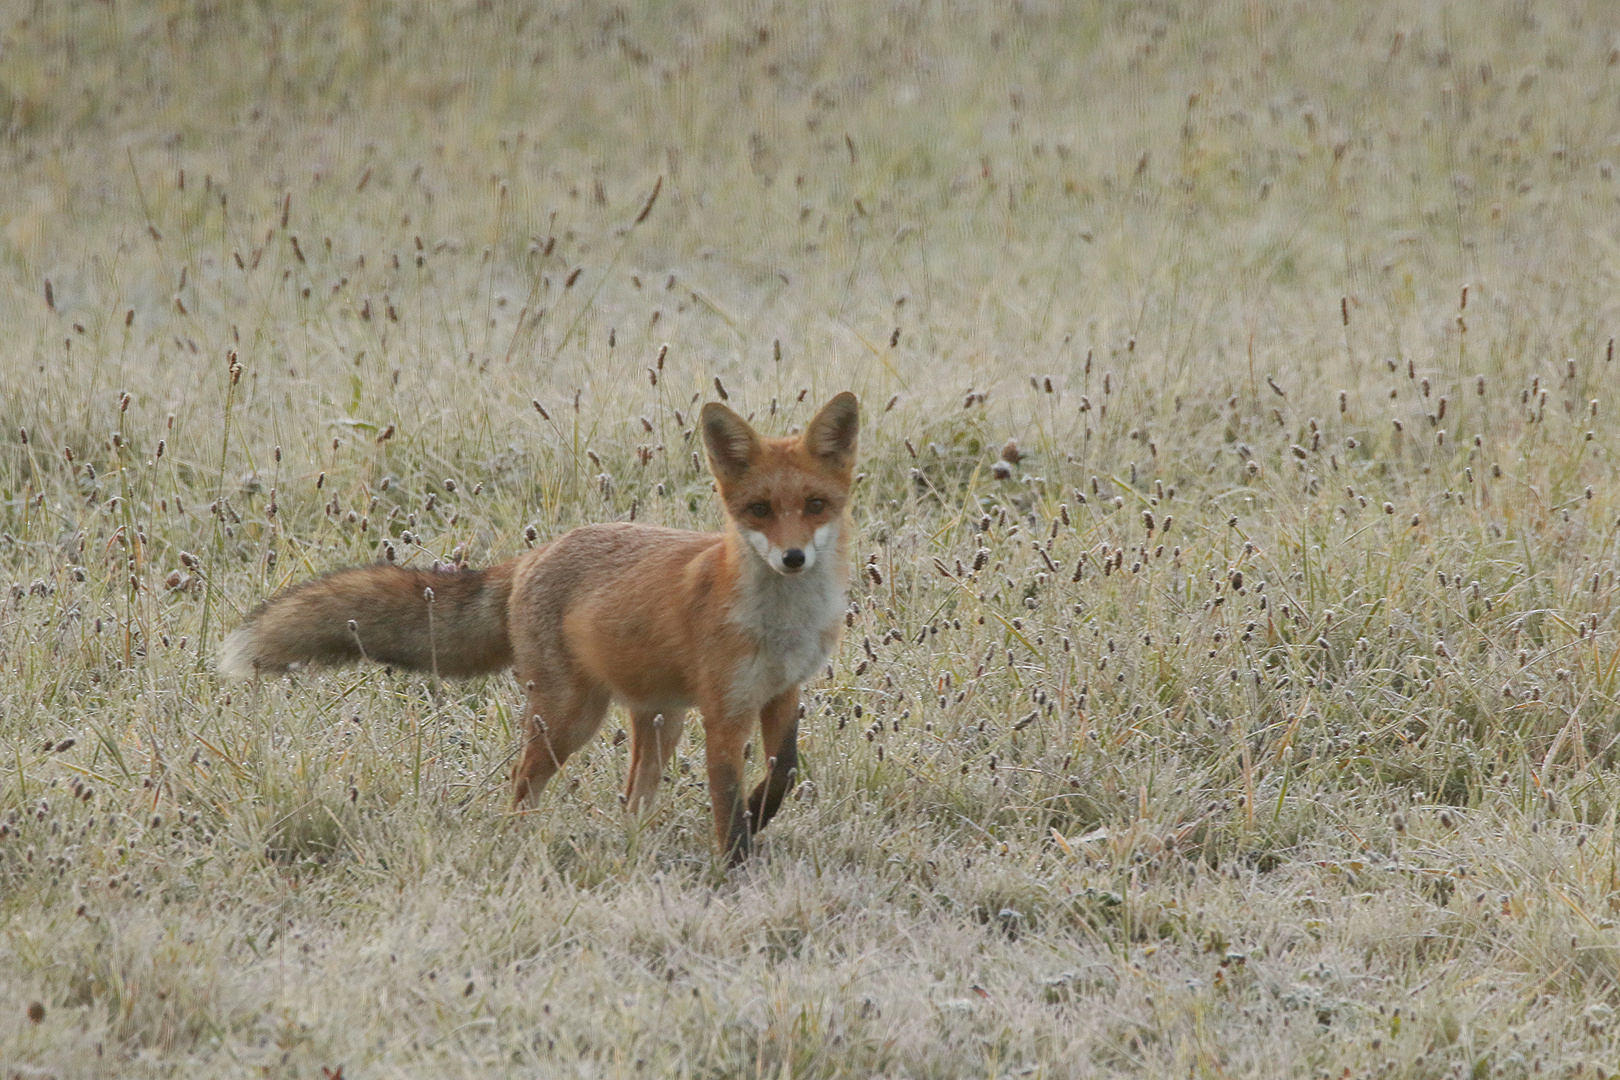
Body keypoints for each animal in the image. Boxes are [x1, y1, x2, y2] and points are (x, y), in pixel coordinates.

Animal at [225, 393, 874, 867]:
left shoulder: (782, 691)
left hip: (658, 718)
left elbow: (784, 771)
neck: (781, 623)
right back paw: (522, 842)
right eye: (760, 510)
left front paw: (762, 812)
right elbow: (726, 803)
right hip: (572, 717)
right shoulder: (724, 709)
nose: (793, 558)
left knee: (633, 793)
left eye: (815, 505)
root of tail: (533, 557)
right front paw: (735, 864)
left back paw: (629, 846)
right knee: (522, 782)